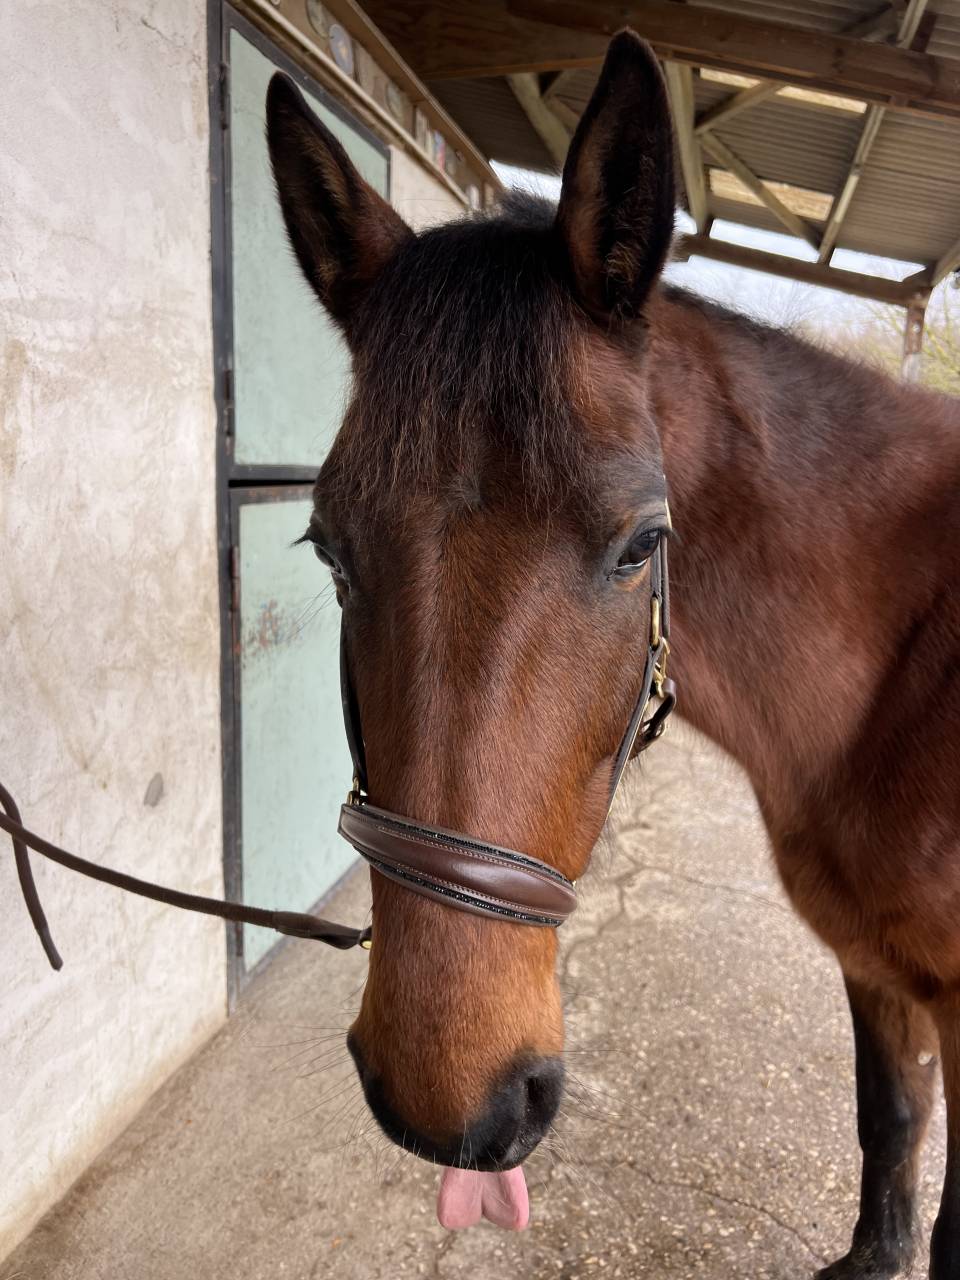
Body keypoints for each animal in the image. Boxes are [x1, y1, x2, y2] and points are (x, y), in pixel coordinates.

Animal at [265, 30, 960, 1277]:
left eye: (642, 543)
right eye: (328, 548)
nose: (452, 1101)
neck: (901, 673)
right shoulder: (877, 962)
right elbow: (889, 1118)